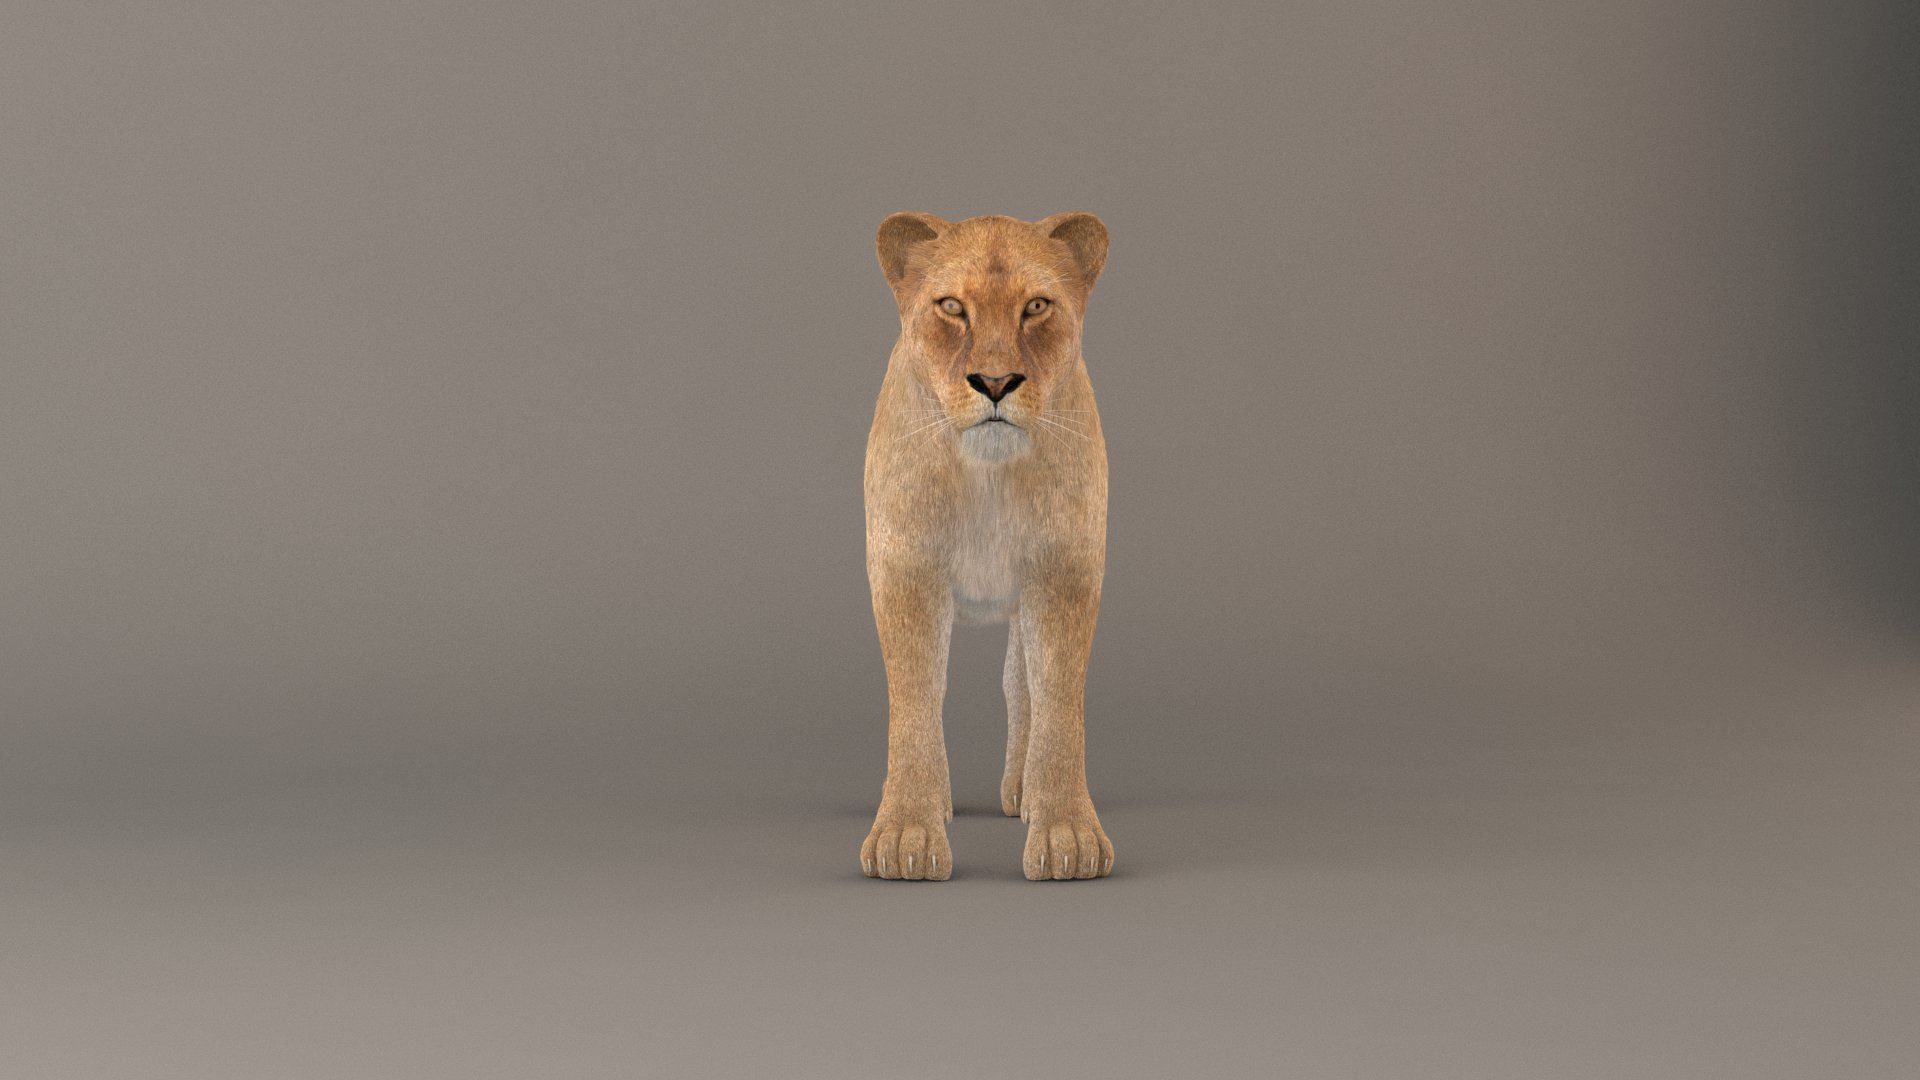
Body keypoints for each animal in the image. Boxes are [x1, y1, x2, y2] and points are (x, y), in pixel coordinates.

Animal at [859, 211, 1114, 881]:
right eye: (952, 307)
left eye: (1036, 306)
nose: (996, 382)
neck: (987, 478)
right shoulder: (907, 571)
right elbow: (917, 698)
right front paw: (907, 835)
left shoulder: (1063, 572)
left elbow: (1057, 703)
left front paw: (1067, 837)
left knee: (1018, 686)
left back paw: (1023, 795)